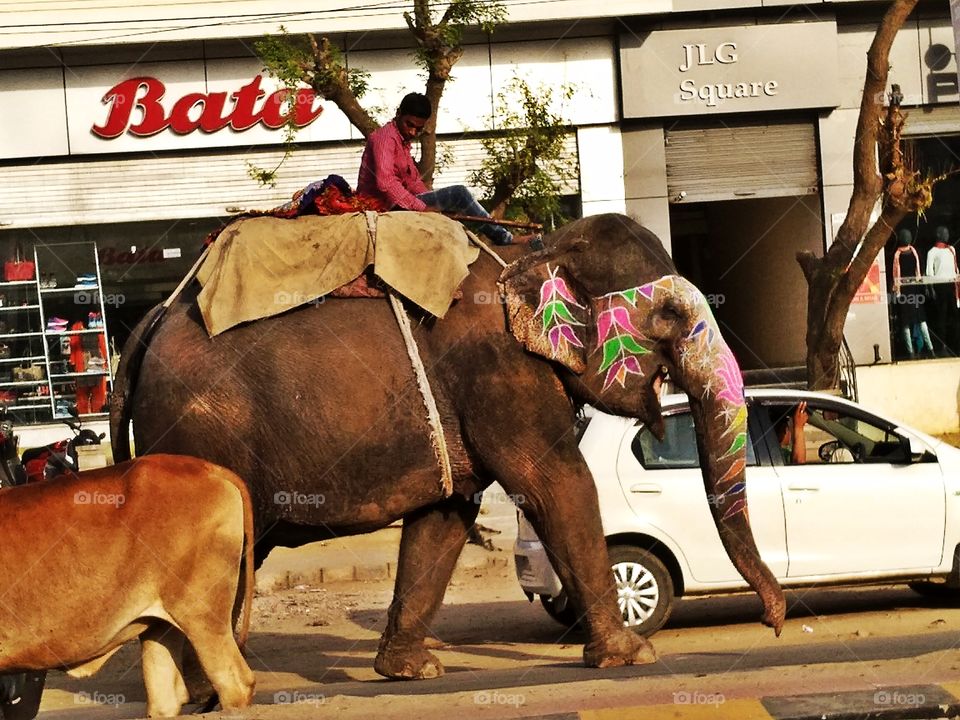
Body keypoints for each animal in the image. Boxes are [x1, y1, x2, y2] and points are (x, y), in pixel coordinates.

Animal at [110, 212, 786, 680]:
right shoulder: (500, 371)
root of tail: (149, 322)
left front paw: (412, 671)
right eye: (668, 316)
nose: (775, 623)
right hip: (201, 432)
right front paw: (633, 656)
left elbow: (448, 513)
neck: (532, 252)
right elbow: (556, 483)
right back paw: (208, 687)